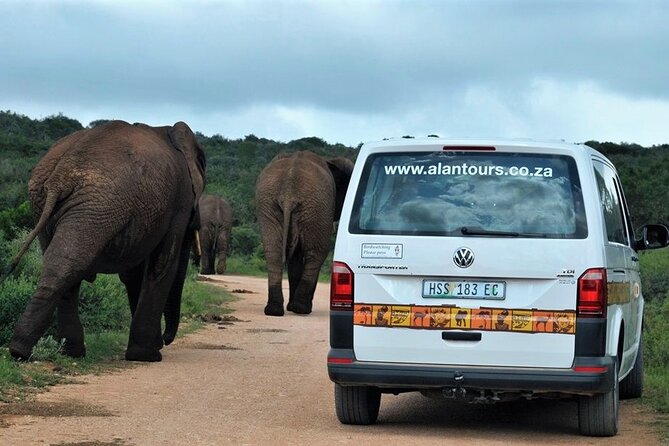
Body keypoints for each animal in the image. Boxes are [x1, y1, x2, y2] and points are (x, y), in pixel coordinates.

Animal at [5, 119, 206, 362]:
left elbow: (134, 273)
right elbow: (163, 264)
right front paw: (147, 355)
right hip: (98, 203)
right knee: (70, 262)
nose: (166, 340)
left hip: (48, 201)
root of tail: (60, 176)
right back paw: (32, 351)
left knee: (62, 263)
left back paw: (50, 352)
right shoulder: (180, 200)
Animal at [254, 150, 354, 318]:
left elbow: (295, 258)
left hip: (268, 204)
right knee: (316, 253)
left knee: (273, 252)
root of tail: (289, 190)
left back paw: (274, 310)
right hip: (316, 206)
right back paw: (301, 309)